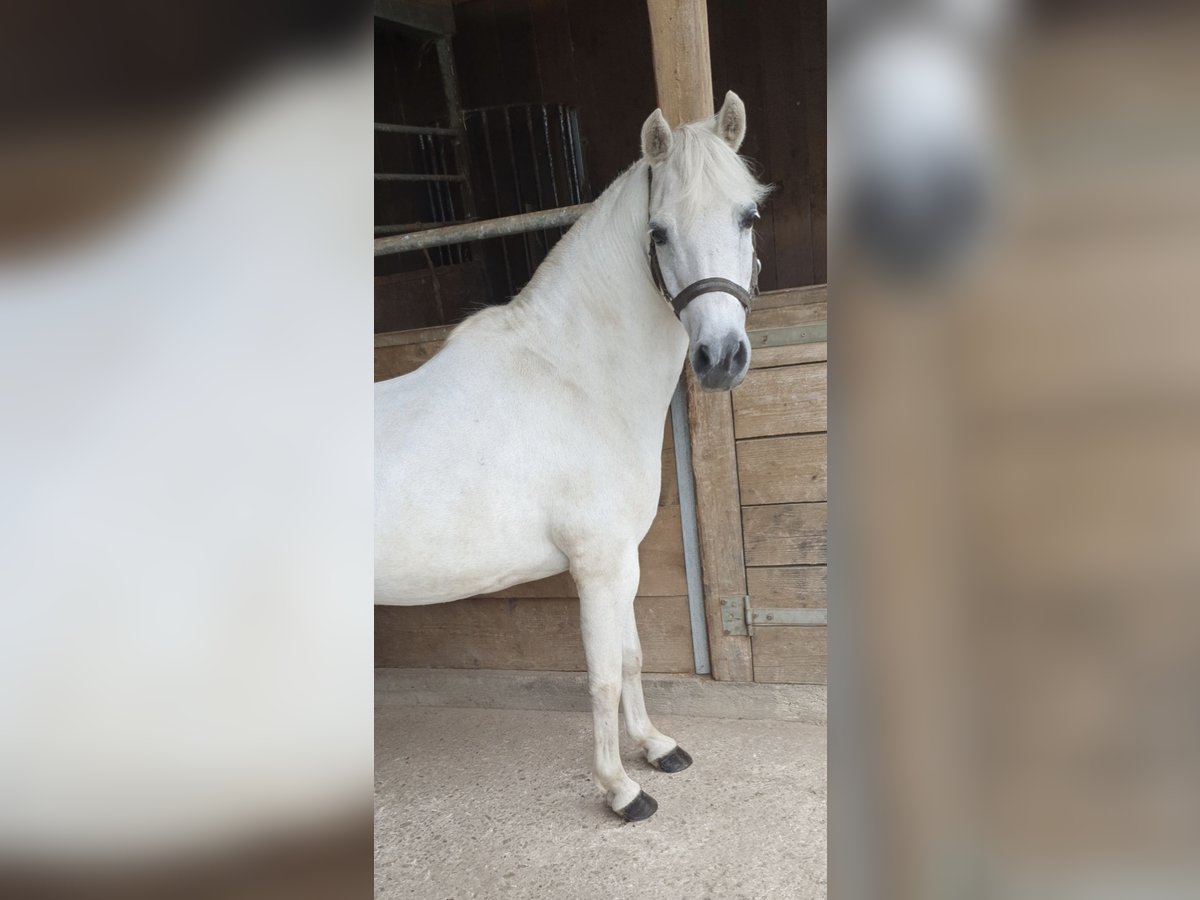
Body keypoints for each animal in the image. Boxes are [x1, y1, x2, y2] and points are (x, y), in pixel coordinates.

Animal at [374, 93, 768, 825]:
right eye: (659, 232)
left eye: (748, 215)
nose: (721, 358)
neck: (574, 379)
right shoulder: (596, 565)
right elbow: (603, 675)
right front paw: (620, 789)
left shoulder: (624, 561)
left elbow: (634, 657)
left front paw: (657, 748)